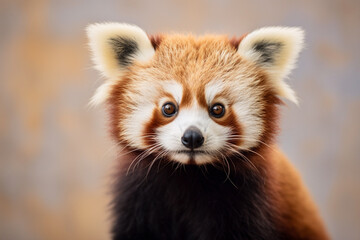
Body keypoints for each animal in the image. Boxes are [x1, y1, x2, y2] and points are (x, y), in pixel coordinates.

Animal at [87, 23, 330, 240]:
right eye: (169, 108)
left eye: (217, 109)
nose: (192, 137)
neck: (189, 174)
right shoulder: (138, 197)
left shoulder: (250, 201)